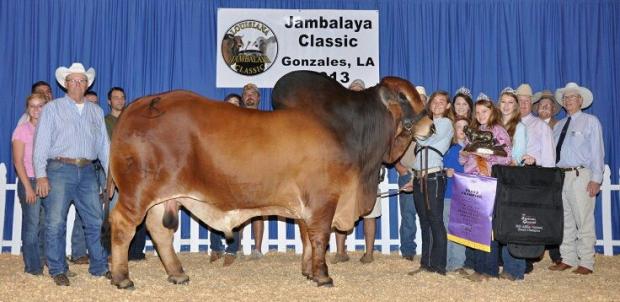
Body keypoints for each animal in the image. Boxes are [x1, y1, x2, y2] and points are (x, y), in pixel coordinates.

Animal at [106, 69, 434, 290]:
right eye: (403, 96)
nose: (430, 126)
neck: (348, 130)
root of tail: (140, 105)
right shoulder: (324, 200)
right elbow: (320, 237)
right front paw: (323, 276)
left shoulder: (305, 206)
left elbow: (307, 237)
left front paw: (308, 272)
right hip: (137, 192)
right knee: (122, 225)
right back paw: (122, 278)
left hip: (163, 197)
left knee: (159, 232)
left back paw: (177, 273)